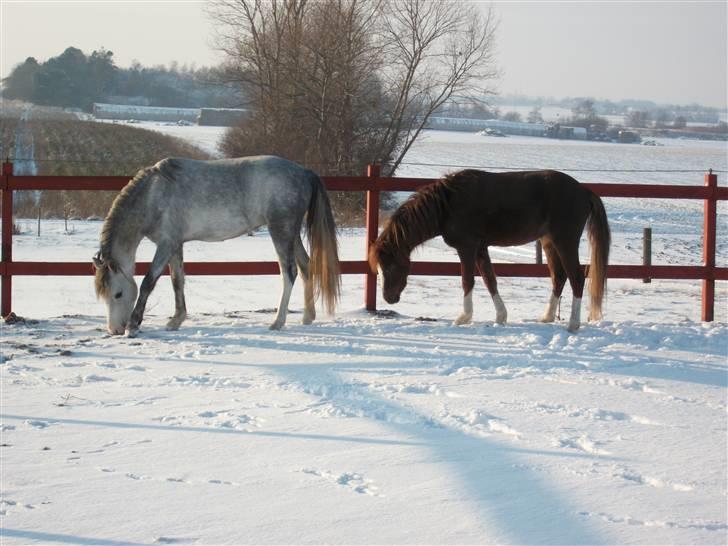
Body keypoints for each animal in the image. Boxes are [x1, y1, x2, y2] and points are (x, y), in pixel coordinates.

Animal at [94, 155, 340, 336]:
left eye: (117, 293)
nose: (114, 330)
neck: (154, 195)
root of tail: (305, 172)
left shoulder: (165, 245)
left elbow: (148, 282)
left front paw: (134, 325)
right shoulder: (175, 245)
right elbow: (177, 281)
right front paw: (176, 320)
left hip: (281, 230)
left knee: (289, 272)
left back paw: (277, 322)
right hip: (292, 234)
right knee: (306, 266)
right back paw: (307, 317)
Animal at [369, 169, 610, 332]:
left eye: (390, 266)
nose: (388, 298)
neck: (448, 204)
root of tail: (584, 190)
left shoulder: (466, 247)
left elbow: (467, 281)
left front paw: (463, 317)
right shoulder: (481, 248)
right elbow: (489, 279)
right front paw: (501, 316)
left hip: (565, 242)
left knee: (576, 278)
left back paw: (573, 324)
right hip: (549, 243)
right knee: (559, 277)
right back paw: (547, 317)